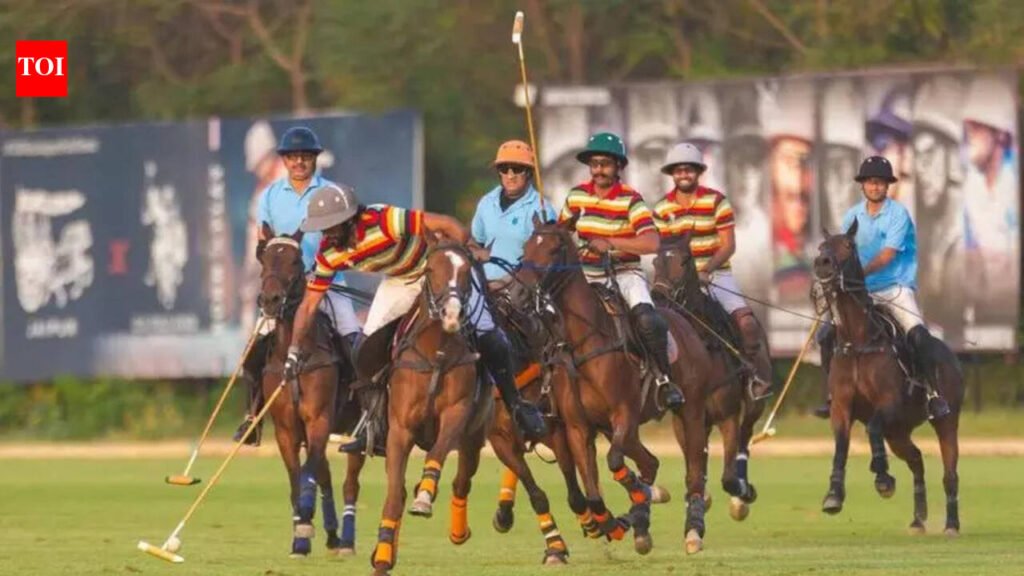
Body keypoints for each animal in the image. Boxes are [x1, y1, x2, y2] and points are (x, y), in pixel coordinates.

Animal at [256, 224, 365, 556]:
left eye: (295, 261)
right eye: (263, 260)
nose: (271, 300)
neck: (293, 354)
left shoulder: (318, 419)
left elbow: (308, 471)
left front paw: (305, 521)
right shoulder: (286, 428)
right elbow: (296, 476)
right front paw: (300, 536)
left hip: (355, 431)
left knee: (349, 483)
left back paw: (346, 540)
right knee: (325, 473)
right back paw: (330, 534)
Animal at [369, 238, 493, 575]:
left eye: (466, 272)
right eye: (431, 270)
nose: (451, 314)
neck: (436, 352)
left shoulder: (456, 414)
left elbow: (436, 455)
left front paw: (424, 496)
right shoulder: (399, 428)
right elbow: (393, 496)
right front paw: (383, 556)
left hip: (474, 437)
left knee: (462, 480)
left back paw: (457, 530)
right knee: (398, 489)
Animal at [510, 216, 713, 554]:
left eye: (553, 250)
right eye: (525, 247)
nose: (516, 295)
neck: (583, 342)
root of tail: (683, 320)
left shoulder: (624, 413)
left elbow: (615, 461)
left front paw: (634, 495)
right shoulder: (578, 427)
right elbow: (592, 491)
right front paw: (609, 523)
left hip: (692, 411)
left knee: (694, 470)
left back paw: (692, 530)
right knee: (651, 462)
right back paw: (638, 521)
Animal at [651, 236, 766, 521]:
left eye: (684, 260)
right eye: (655, 260)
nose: (658, 295)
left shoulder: (728, 415)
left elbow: (728, 477)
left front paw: (742, 493)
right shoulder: (682, 419)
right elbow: (693, 464)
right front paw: (698, 497)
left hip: (755, 402)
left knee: (745, 437)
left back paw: (741, 495)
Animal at [813, 222, 963, 535]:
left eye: (849, 245)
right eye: (822, 246)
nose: (822, 264)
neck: (859, 340)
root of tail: (952, 355)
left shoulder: (889, 402)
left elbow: (872, 427)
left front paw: (882, 478)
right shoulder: (841, 407)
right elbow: (841, 444)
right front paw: (834, 495)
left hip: (946, 421)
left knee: (950, 472)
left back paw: (952, 524)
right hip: (898, 431)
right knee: (917, 459)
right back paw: (918, 519)